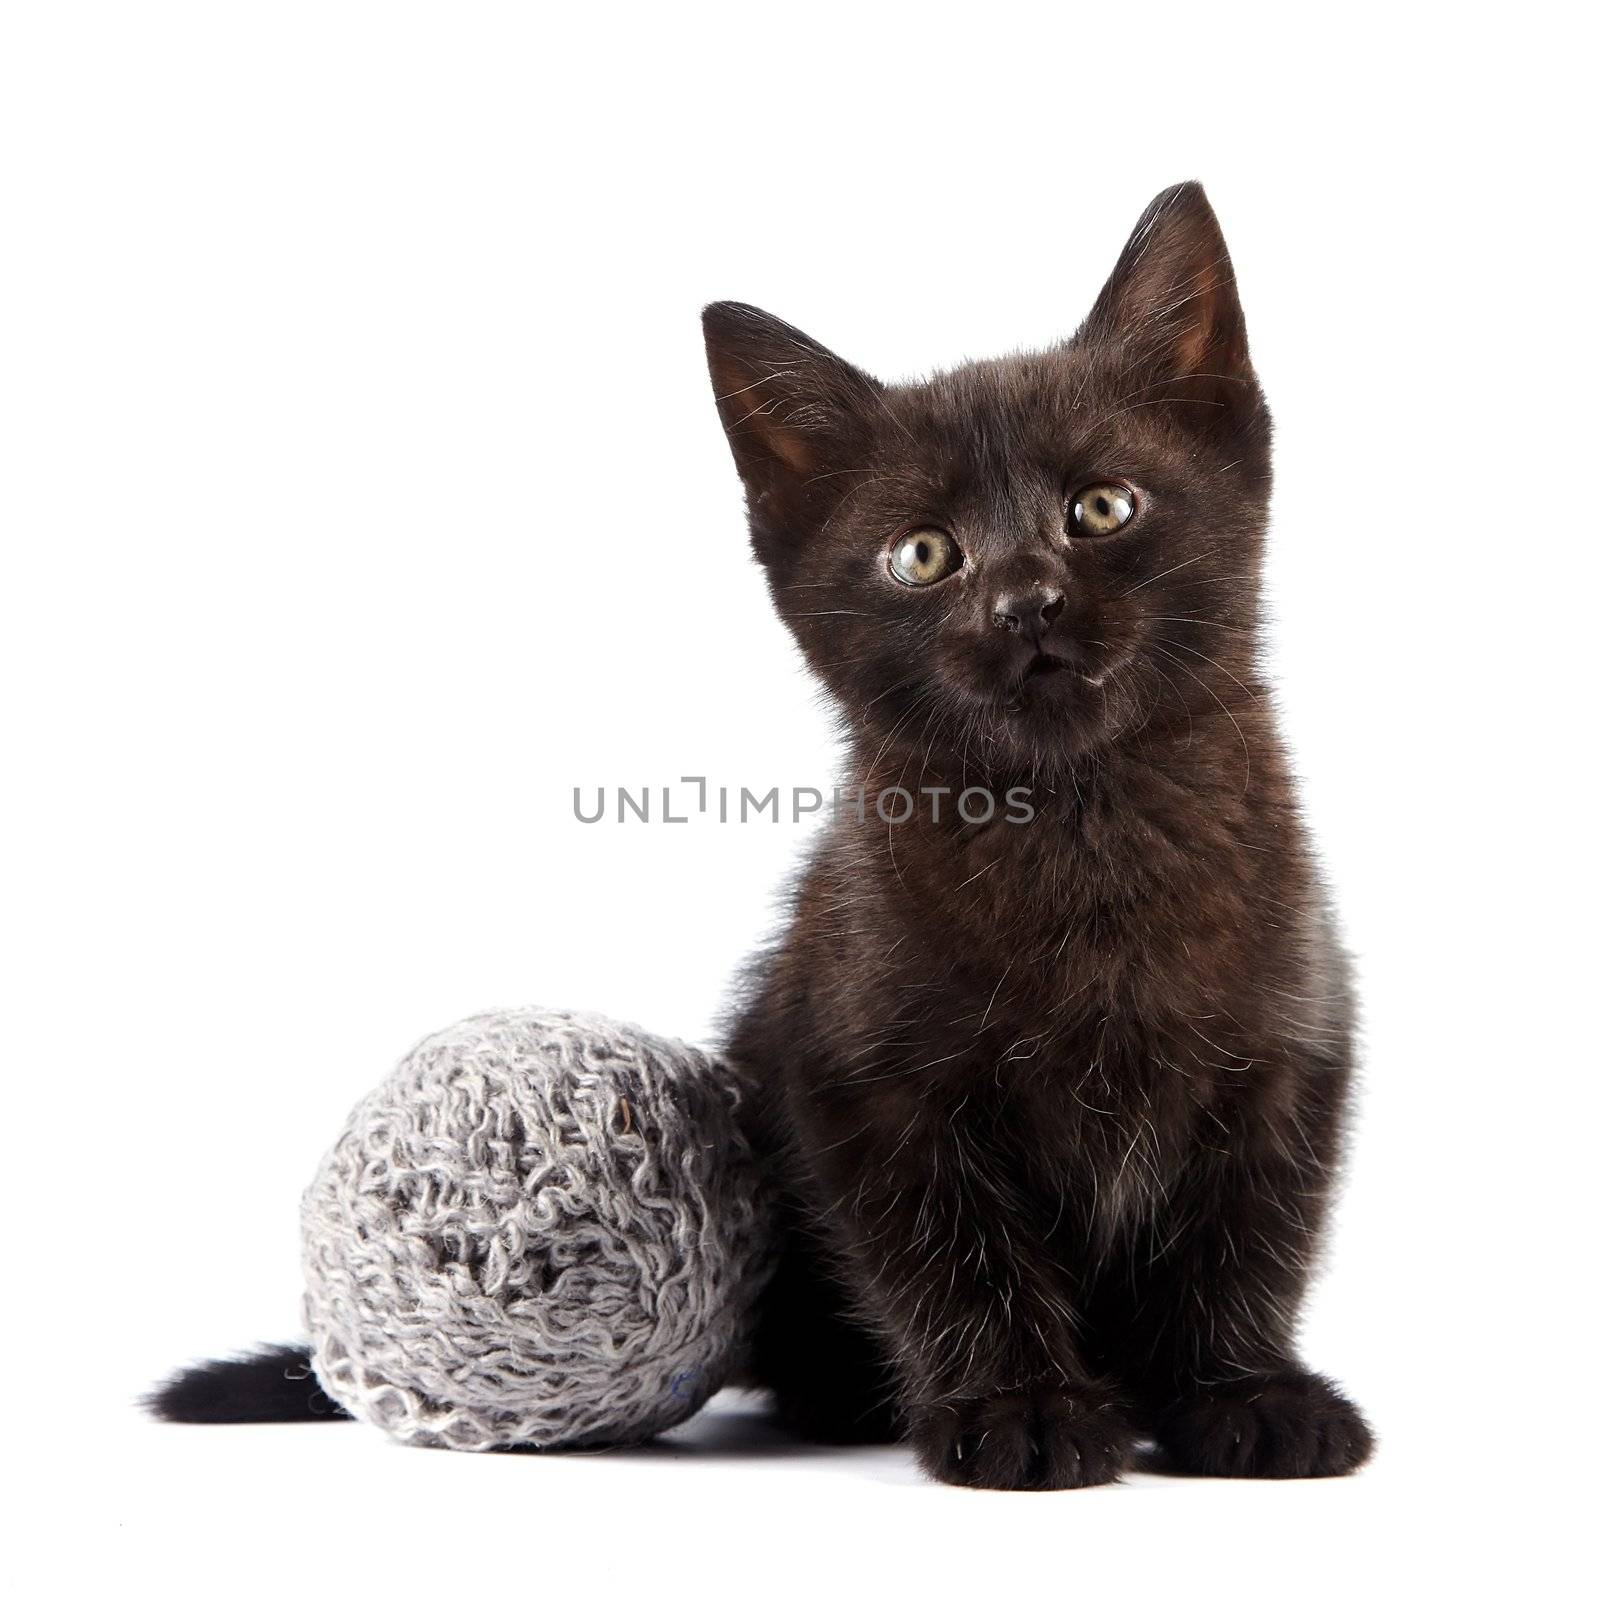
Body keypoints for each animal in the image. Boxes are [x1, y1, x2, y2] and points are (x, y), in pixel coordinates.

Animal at [713, 181, 1376, 1491]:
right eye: (923, 553)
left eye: (1101, 506)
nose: (1026, 601)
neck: (1082, 828)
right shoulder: (868, 1074)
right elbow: (950, 1252)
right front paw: (1019, 1408)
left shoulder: (1290, 1044)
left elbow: (1249, 1235)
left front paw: (1246, 1392)